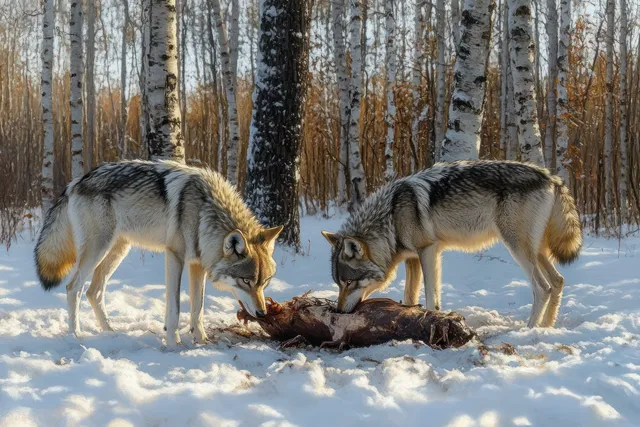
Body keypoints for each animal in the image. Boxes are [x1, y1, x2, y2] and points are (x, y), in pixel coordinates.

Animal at [35, 160, 282, 346]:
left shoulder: (197, 265)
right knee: (73, 288)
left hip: (117, 251)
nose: (263, 313)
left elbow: (197, 309)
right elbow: (175, 307)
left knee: (93, 292)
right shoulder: (175, 256)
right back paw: (75, 334)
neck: (204, 210)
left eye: (265, 282)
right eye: (246, 281)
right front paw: (174, 343)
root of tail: (75, 182)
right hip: (97, 251)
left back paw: (109, 331)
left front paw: (201, 341)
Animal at [322, 160, 582, 328]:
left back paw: (529, 329)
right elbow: (411, 295)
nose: (337, 310)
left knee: (542, 287)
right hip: (537, 251)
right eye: (338, 284)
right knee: (558, 281)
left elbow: (429, 294)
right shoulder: (415, 257)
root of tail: (552, 177)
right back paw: (546, 328)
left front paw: (429, 318)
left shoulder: (427, 251)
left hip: (518, 249)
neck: (391, 217)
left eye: (348, 282)